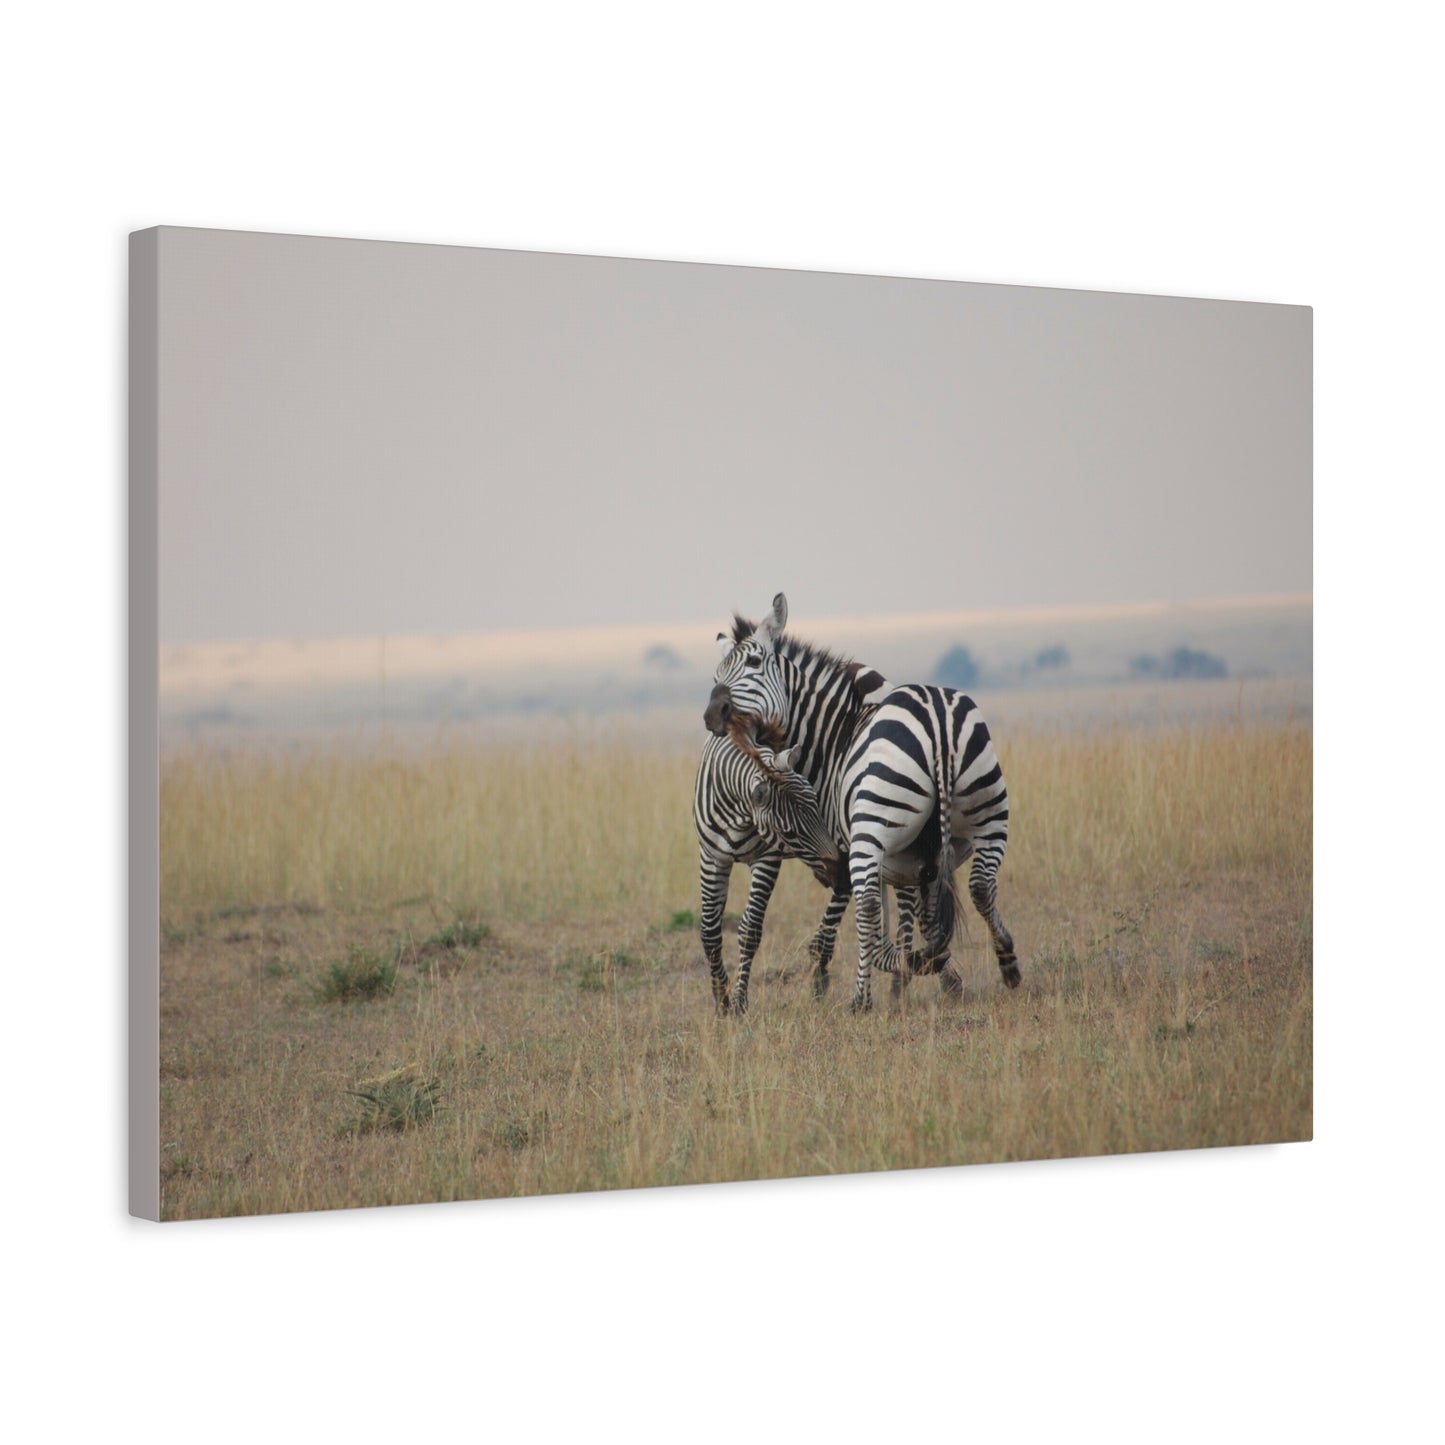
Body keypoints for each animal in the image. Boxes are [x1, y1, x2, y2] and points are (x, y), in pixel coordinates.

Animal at [705, 592, 1019, 1012]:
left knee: (868, 903)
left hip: (872, 828)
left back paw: (860, 1000)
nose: (711, 715)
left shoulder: (843, 843)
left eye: (754, 663)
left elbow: (861, 909)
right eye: (715, 677)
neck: (832, 736)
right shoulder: (911, 859)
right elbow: (917, 915)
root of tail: (936, 718)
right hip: (990, 813)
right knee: (982, 886)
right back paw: (1008, 963)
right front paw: (924, 969)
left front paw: (830, 975)